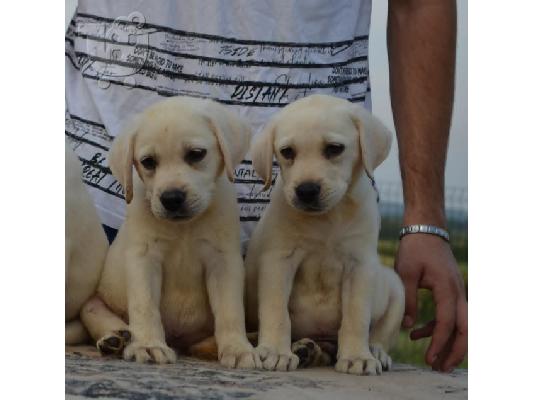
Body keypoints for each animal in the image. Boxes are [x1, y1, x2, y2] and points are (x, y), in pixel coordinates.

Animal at [80, 97, 262, 368]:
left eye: (196, 154)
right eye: (148, 162)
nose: (171, 198)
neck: (183, 228)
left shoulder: (224, 262)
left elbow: (230, 311)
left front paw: (238, 348)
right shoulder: (144, 259)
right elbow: (145, 307)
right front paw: (148, 345)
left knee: (204, 343)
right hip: (93, 302)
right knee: (97, 315)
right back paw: (116, 338)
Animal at [247, 94, 406, 376]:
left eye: (334, 148)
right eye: (287, 152)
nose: (306, 190)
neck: (327, 220)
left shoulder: (360, 265)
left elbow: (356, 317)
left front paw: (357, 357)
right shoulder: (278, 261)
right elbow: (277, 312)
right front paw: (276, 351)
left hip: (397, 288)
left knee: (380, 334)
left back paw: (373, 351)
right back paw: (303, 349)